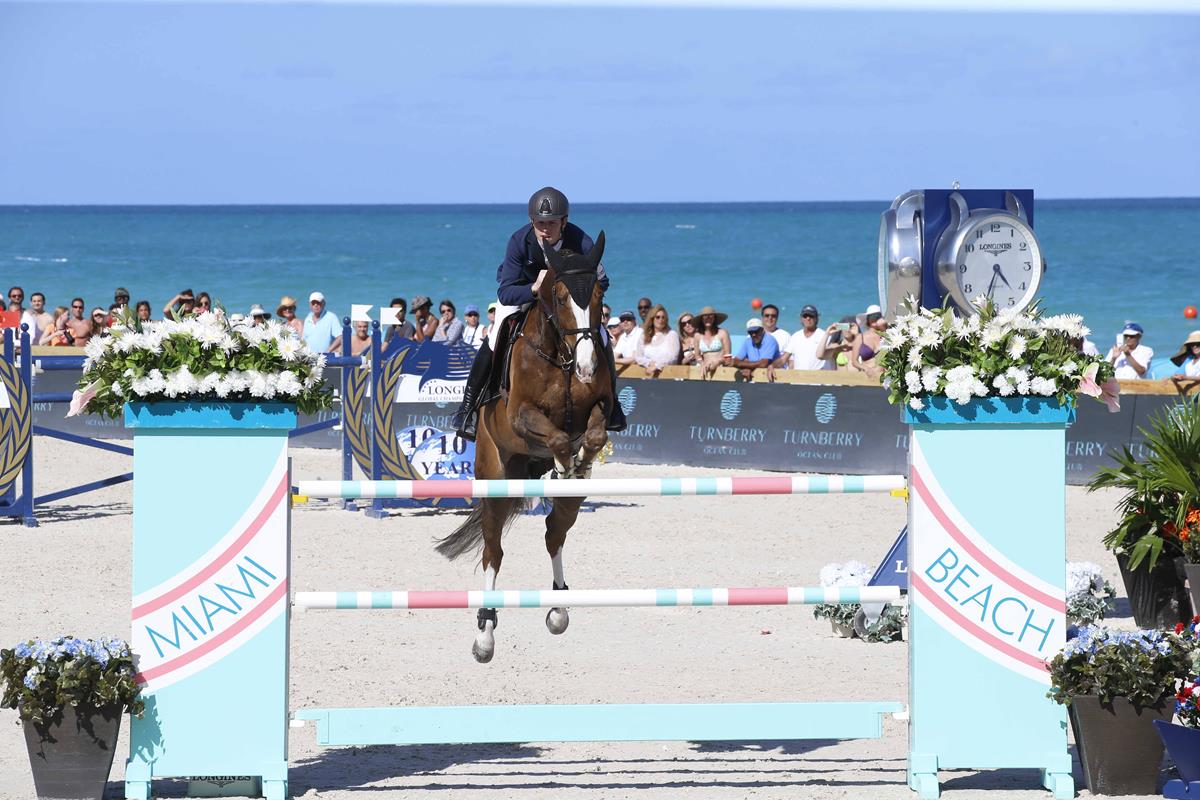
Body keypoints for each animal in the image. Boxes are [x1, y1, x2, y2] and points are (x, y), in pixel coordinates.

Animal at [436, 231, 614, 662]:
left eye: (600, 294)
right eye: (561, 297)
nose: (587, 367)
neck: (561, 355)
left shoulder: (598, 406)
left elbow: (593, 434)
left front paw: (579, 461)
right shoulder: (520, 417)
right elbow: (557, 436)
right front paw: (566, 459)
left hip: (567, 501)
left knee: (554, 532)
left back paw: (559, 609)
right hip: (495, 476)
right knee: (493, 551)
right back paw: (485, 633)